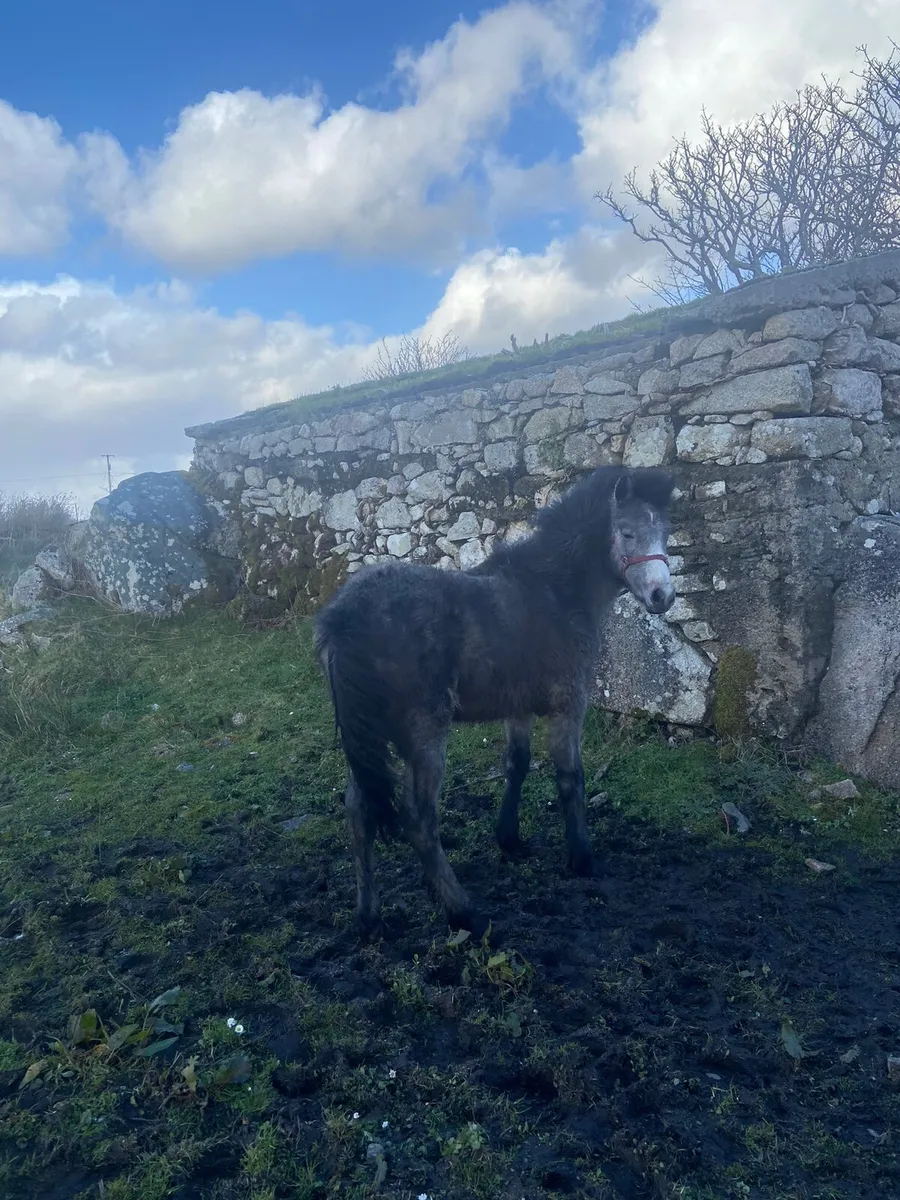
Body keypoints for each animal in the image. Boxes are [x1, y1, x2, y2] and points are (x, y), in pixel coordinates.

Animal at [314, 465, 677, 937]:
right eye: (628, 533)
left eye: (665, 533)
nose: (663, 597)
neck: (554, 591)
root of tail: (344, 617)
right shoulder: (568, 706)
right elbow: (571, 779)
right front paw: (583, 859)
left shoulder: (517, 707)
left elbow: (516, 766)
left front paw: (510, 839)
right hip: (423, 734)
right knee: (420, 821)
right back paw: (464, 912)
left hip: (368, 738)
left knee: (359, 812)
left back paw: (368, 915)